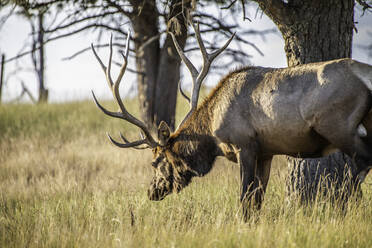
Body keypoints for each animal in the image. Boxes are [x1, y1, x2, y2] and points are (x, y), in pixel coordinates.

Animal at [91, 22, 370, 218]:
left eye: (155, 162)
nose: (151, 192)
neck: (212, 132)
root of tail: (364, 73)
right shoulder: (266, 152)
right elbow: (258, 199)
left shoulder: (244, 145)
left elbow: (245, 198)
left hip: (339, 126)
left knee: (362, 164)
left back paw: (345, 203)